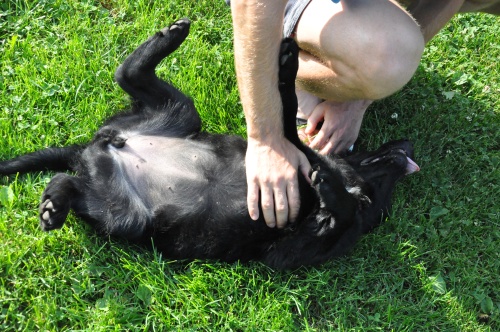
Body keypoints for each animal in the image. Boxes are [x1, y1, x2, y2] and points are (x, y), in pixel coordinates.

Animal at [0, 18, 420, 270]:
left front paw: (331, 188)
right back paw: (172, 34)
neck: (353, 180)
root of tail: (91, 148)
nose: (410, 145)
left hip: (123, 213)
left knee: (69, 181)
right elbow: (284, 114)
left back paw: (53, 206)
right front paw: (286, 63)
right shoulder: (290, 150)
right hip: (181, 116)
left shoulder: (298, 246)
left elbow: (343, 210)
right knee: (128, 73)